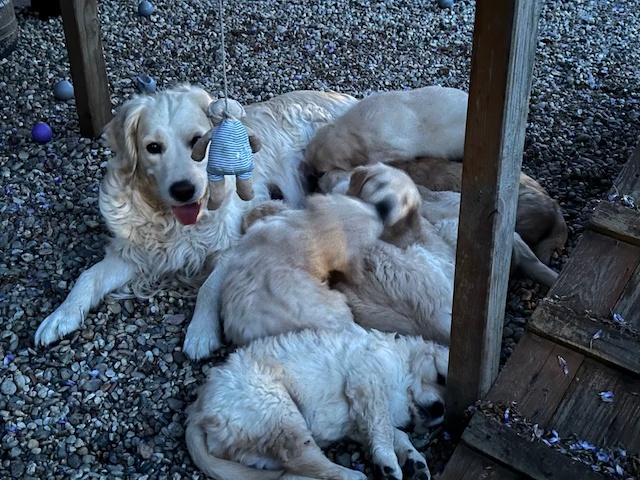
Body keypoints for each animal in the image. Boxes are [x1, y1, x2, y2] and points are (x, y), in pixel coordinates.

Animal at [34, 85, 357, 347]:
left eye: (197, 141)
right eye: (153, 147)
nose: (183, 190)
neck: (173, 221)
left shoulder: (233, 246)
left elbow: (208, 287)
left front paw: (201, 333)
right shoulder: (135, 251)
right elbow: (87, 276)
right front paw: (60, 316)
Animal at [185, 324, 448, 480]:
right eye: (441, 377)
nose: (440, 409)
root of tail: (197, 409)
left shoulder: (357, 418)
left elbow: (396, 434)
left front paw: (414, 461)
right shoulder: (366, 378)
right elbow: (384, 428)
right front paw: (390, 462)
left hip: (260, 440)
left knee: (291, 472)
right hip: (277, 410)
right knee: (301, 458)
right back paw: (354, 476)